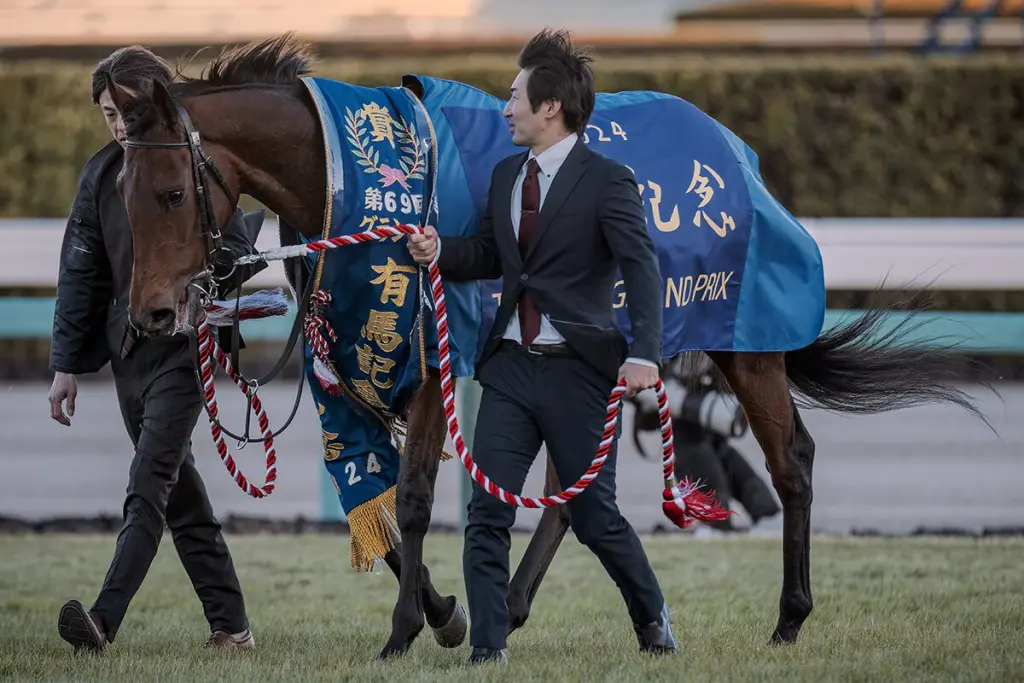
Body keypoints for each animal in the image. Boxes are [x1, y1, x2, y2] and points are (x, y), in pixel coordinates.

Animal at [107, 34, 991, 657]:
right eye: (121, 189)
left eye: (172, 191)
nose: (150, 314)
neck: (359, 177)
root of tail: (739, 154)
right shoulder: (347, 358)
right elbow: (377, 496)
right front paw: (446, 613)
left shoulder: (431, 352)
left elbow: (416, 495)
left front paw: (405, 629)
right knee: (576, 480)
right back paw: (520, 602)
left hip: (742, 336)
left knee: (791, 458)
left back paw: (789, 617)